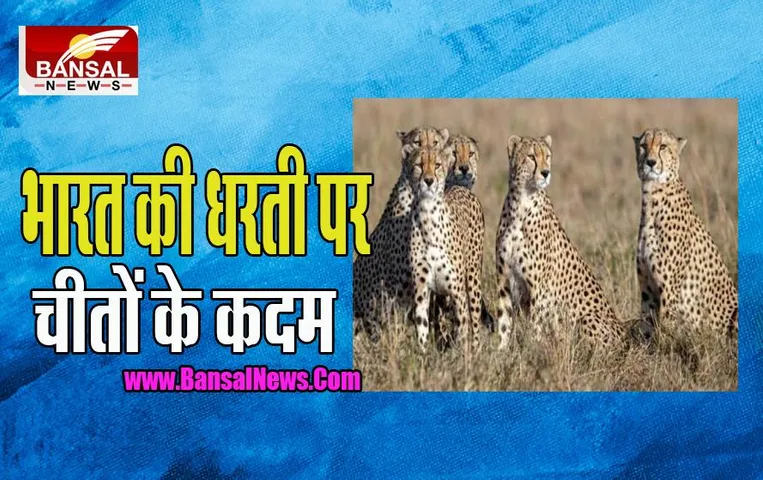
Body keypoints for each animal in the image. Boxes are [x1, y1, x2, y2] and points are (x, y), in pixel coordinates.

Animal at [408, 143, 486, 353]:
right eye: (418, 165)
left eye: (436, 165)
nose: (428, 181)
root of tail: (460, 187)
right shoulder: (421, 291)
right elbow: (422, 327)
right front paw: (423, 355)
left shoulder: (458, 293)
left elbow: (462, 329)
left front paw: (463, 357)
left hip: (473, 279)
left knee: (475, 321)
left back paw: (476, 351)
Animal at [494, 134, 627, 352]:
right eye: (531, 156)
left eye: (547, 156)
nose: (546, 173)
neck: (521, 203)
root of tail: (626, 336)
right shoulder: (504, 281)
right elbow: (504, 322)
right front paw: (501, 353)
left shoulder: (539, 289)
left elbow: (535, 327)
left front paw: (532, 352)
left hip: (586, 319)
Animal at [633, 127, 738, 349]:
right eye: (644, 146)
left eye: (663, 146)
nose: (650, 162)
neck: (652, 195)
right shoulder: (647, 289)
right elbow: (647, 326)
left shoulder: (669, 290)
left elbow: (665, 329)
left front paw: (664, 355)